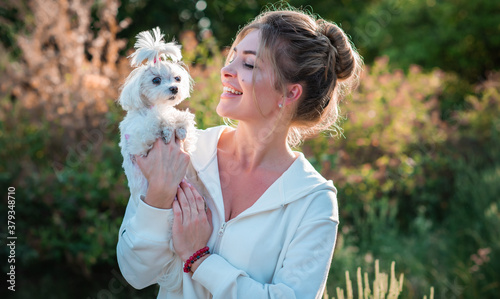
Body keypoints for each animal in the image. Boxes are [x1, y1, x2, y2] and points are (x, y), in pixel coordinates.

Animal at [117, 27, 195, 290]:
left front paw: (179, 124)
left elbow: (185, 124)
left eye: (177, 79)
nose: (174, 89)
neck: (153, 107)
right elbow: (155, 122)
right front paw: (167, 124)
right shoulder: (138, 142)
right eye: (156, 80)